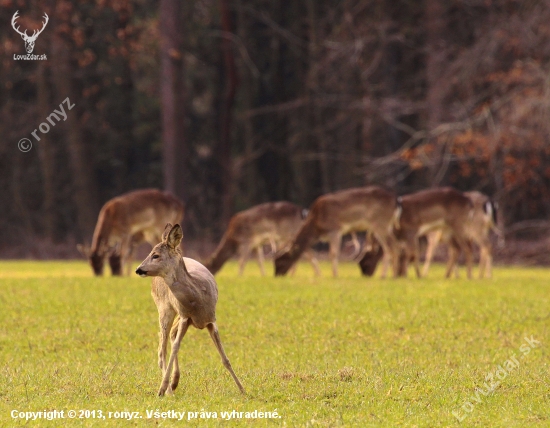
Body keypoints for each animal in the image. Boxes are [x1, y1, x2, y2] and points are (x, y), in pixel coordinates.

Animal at [135, 222, 245, 396]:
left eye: (156, 255)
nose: (139, 269)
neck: (197, 296)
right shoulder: (185, 316)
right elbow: (174, 347)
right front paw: (162, 389)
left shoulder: (210, 319)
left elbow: (225, 358)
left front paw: (242, 390)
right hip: (165, 309)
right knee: (162, 349)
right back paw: (169, 389)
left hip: (178, 315)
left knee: (170, 337)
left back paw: (174, 383)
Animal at [274, 187, 402, 278]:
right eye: (274, 262)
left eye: (280, 262)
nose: (276, 275)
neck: (316, 227)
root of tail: (396, 201)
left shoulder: (335, 229)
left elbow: (333, 253)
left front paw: (335, 275)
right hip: (386, 225)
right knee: (394, 245)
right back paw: (394, 274)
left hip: (381, 223)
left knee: (390, 247)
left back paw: (385, 275)